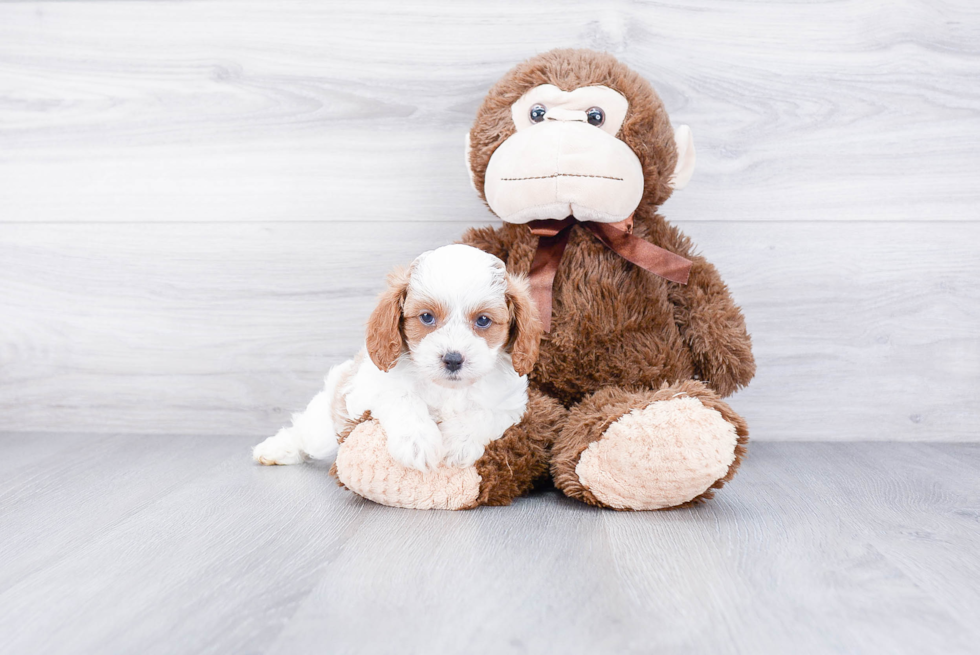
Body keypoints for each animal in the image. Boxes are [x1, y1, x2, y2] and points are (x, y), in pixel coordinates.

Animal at [253, 245, 540, 472]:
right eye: (426, 317)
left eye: (483, 320)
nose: (453, 359)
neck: (447, 389)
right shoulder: (369, 388)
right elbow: (402, 397)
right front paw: (417, 442)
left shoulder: (511, 405)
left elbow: (484, 413)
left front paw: (457, 443)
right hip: (327, 422)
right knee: (304, 433)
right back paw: (275, 449)